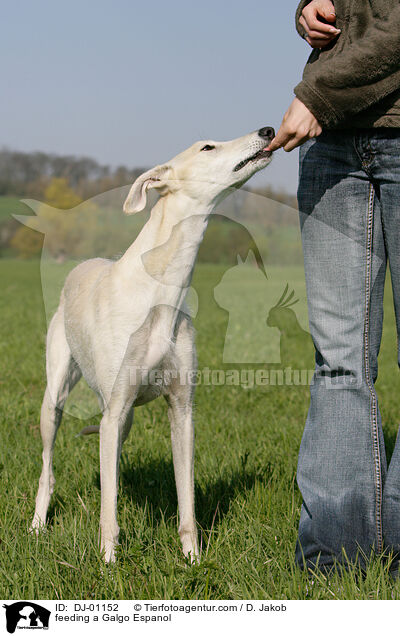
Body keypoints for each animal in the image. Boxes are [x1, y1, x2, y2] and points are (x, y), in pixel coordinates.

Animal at [30, 128, 276, 560]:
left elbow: (186, 501)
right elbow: (108, 512)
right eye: (207, 147)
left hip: (121, 417)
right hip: (56, 397)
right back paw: (38, 524)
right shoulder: (113, 407)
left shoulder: (182, 410)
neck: (159, 291)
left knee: (110, 461)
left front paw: (193, 560)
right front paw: (108, 563)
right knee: (49, 465)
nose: (267, 131)